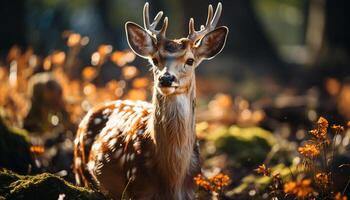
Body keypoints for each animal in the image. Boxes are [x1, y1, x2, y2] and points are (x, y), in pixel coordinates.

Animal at [72, 2, 228, 199]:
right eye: (155, 59)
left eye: (190, 60)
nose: (166, 78)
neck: (172, 180)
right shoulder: (137, 187)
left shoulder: (191, 190)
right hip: (80, 171)